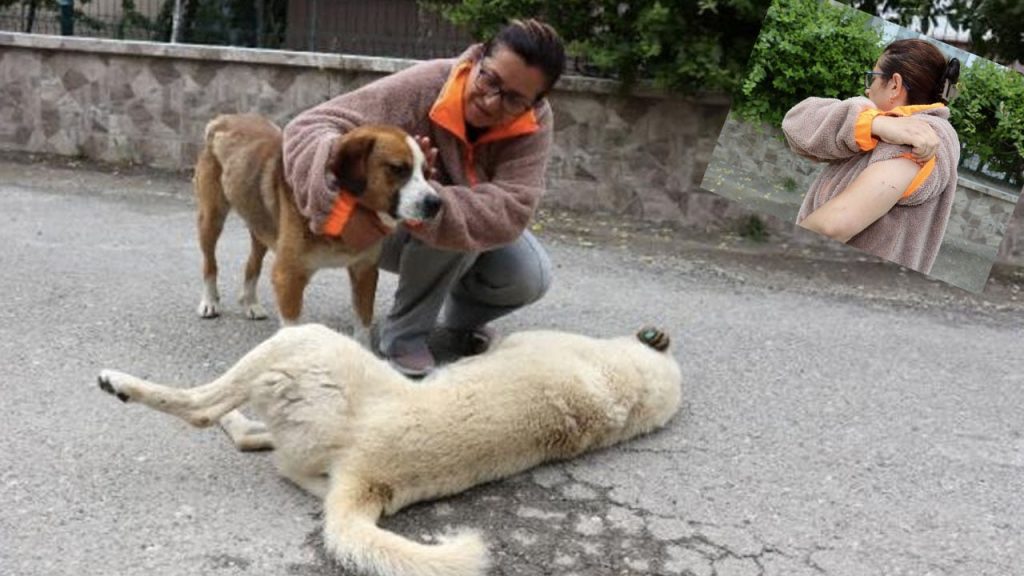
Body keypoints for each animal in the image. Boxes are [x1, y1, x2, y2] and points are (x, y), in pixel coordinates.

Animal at [99, 323, 684, 573]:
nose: (476, 338)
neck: (627, 391)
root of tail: (365, 478)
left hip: (303, 342)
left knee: (201, 408)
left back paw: (123, 384)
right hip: (307, 451)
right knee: (250, 436)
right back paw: (236, 421)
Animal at [195, 114, 440, 342]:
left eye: (426, 172)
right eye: (398, 169)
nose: (437, 203)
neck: (340, 207)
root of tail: (225, 119)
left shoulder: (364, 271)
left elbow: (363, 323)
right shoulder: (288, 276)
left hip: (260, 228)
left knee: (252, 264)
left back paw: (250, 303)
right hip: (212, 220)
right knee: (209, 264)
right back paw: (209, 301)